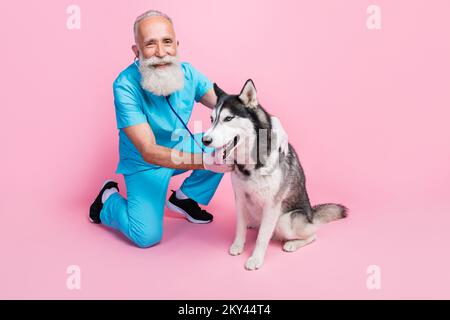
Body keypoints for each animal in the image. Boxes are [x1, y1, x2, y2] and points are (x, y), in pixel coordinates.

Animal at [203, 79, 348, 270]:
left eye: (228, 118)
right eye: (212, 119)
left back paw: (292, 243)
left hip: (285, 220)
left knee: (313, 234)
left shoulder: (272, 205)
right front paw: (237, 245)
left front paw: (256, 258)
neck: (251, 162)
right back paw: (252, 224)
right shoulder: (240, 198)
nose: (205, 140)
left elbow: (262, 238)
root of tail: (311, 214)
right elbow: (239, 227)